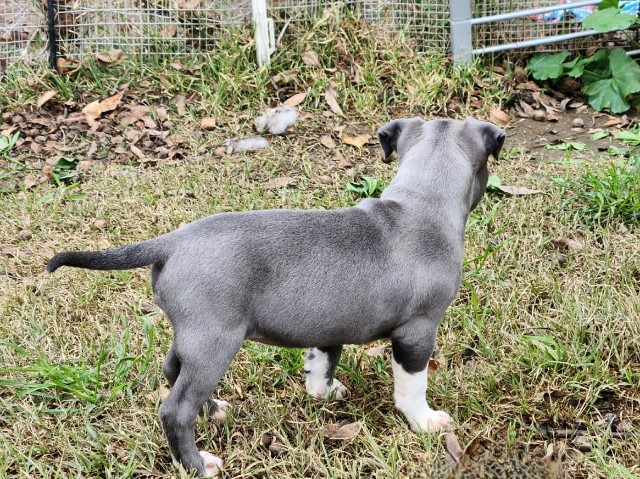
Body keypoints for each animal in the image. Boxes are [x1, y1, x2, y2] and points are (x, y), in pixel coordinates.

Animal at [46, 115, 504, 476]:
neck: (419, 203)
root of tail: (171, 242)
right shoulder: (418, 332)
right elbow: (412, 384)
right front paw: (425, 421)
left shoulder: (329, 319)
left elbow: (323, 358)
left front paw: (322, 392)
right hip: (216, 342)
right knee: (174, 410)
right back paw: (197, 465)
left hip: (194, 336)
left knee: (173, 372)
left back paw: (213, 411)